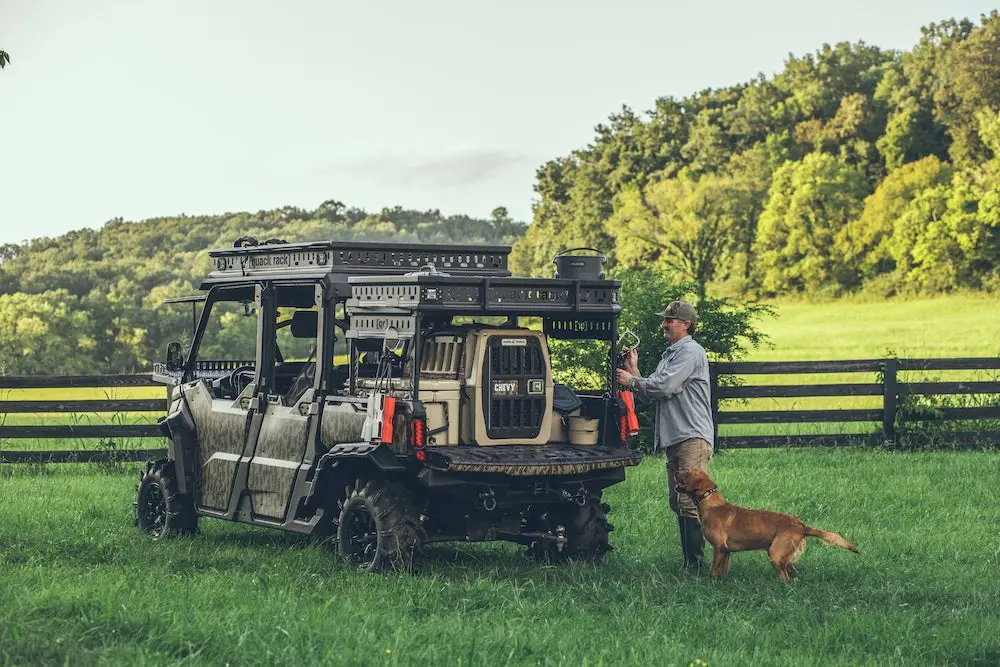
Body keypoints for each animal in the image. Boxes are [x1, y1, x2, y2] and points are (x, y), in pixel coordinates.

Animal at [676, 470, 856, 580]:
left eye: (688, 471)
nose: (676, 471)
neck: (709, 502)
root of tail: (801, 525)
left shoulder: (718, 547)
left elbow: (714, 569)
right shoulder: (726, 551)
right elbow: (723, 570)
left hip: (776, 554)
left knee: (786, 578)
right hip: (785, 558)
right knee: (793, 576)